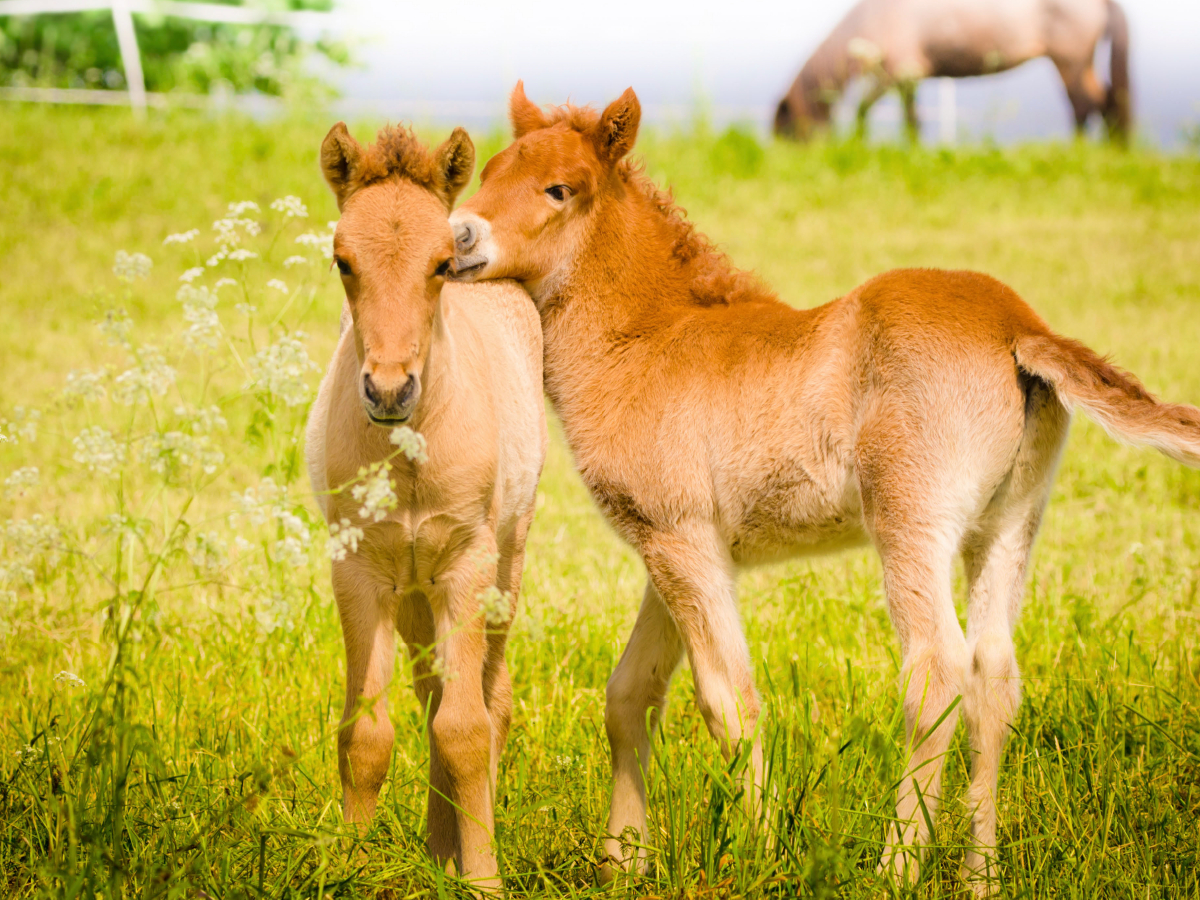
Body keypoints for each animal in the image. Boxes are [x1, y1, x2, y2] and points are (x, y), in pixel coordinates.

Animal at [302, 123, 547, 892]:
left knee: (488, 698)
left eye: (441, 263)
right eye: (342, 259)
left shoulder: (466, 566)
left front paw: (484, 880)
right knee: (432, 691)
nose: (388, 389)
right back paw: (440, 846)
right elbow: (366, 733)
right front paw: (348, 869)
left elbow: (467, 729)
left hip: (503, 567)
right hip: (412, 591)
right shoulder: (358, 572)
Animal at [448, 82, 1200, 897]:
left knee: (937, 674)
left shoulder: (680, 540)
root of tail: (1017, 325)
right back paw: (981, 876)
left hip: (910, 520)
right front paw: (625, 860)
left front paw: (757, 858)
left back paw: (896, 867)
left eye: (559, 189)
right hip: (1009, 526)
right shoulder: (671, 548)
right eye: (488, 171)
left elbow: (727, 699)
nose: (457, 236)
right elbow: (631, 695)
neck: (648, 340)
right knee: (995, 681)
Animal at [772, 0, 1128, 142]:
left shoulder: (897, 73)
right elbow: (912, 119)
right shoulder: (908, 79)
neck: (871, 20)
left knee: (1084, 104)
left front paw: (860, 142)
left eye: (786, 132)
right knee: (1108, 99)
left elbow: (863, 110)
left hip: (1068, 60)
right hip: (1079, 61)